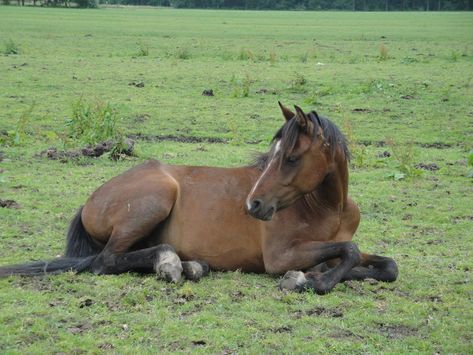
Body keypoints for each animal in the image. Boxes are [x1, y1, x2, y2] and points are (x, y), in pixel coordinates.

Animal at [0, 102, 396, 294]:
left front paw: (322, 274)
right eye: (275, 154)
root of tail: (89, 201)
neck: (327, 207)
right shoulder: (280, 256)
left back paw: (189, 266)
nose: (253, 205)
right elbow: (349, 252)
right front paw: (308, 281)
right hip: (157, 196)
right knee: (106, 261)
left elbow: (385, 265)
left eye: (292, 157)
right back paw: (171, 264)